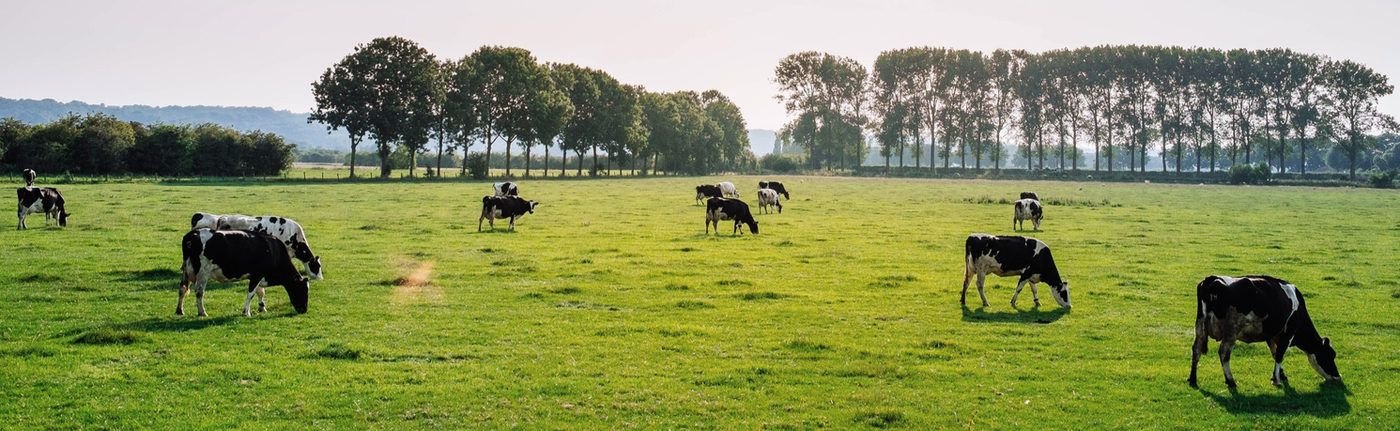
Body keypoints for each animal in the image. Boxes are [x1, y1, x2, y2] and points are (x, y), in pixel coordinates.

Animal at [179, 229, 309, 317]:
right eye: (303, 290)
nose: (304, 310)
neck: (273, 251)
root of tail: (193, 234)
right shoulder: (257, 274)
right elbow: (251, 294)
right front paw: (246, 312)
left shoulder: (256, 276)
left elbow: (260, 292)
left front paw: (262, 308)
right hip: (203, 273)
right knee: (199, 292)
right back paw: (202, 312)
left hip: (186, 271)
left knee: (182, 289)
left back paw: (179, 311)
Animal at [1189, 275, 1341, 389]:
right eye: (1330, 355)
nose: (1338, 377)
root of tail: (1212, 279)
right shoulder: (1288, 333)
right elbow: (1279, 355)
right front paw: (1277, 380)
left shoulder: (1271, 335)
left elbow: (1274, 353)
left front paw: (1280, 375)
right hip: (1231, 331)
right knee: (1223, 353)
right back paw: (1230, 381)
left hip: (1200, 326)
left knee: (1196, 350)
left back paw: (1192, 379)